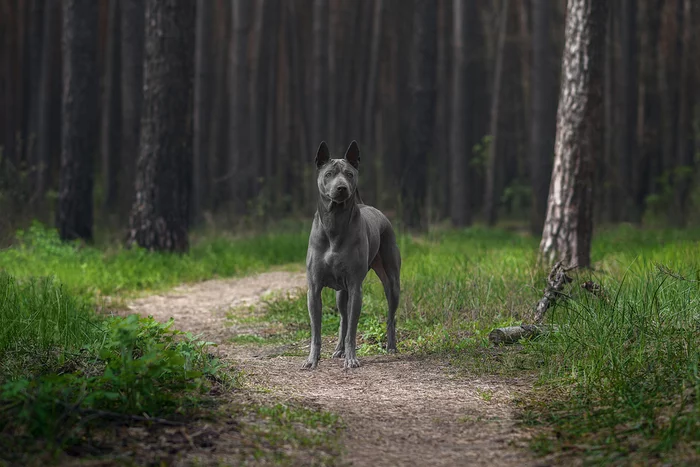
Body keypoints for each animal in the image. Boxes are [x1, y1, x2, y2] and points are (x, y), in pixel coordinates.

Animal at [300, 141, 400, 372]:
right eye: (329, 174)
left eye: (349, 174)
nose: (342, 188)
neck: (335, 223)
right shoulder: (314, 289)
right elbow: (316, 331)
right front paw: (312, 360)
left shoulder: (355, 287)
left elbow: (353, 330)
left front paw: (351, 359)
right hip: (340, 292)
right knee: (343, 320)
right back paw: (338, 350)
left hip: (392, 282)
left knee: (390, 317)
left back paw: (391, 347)